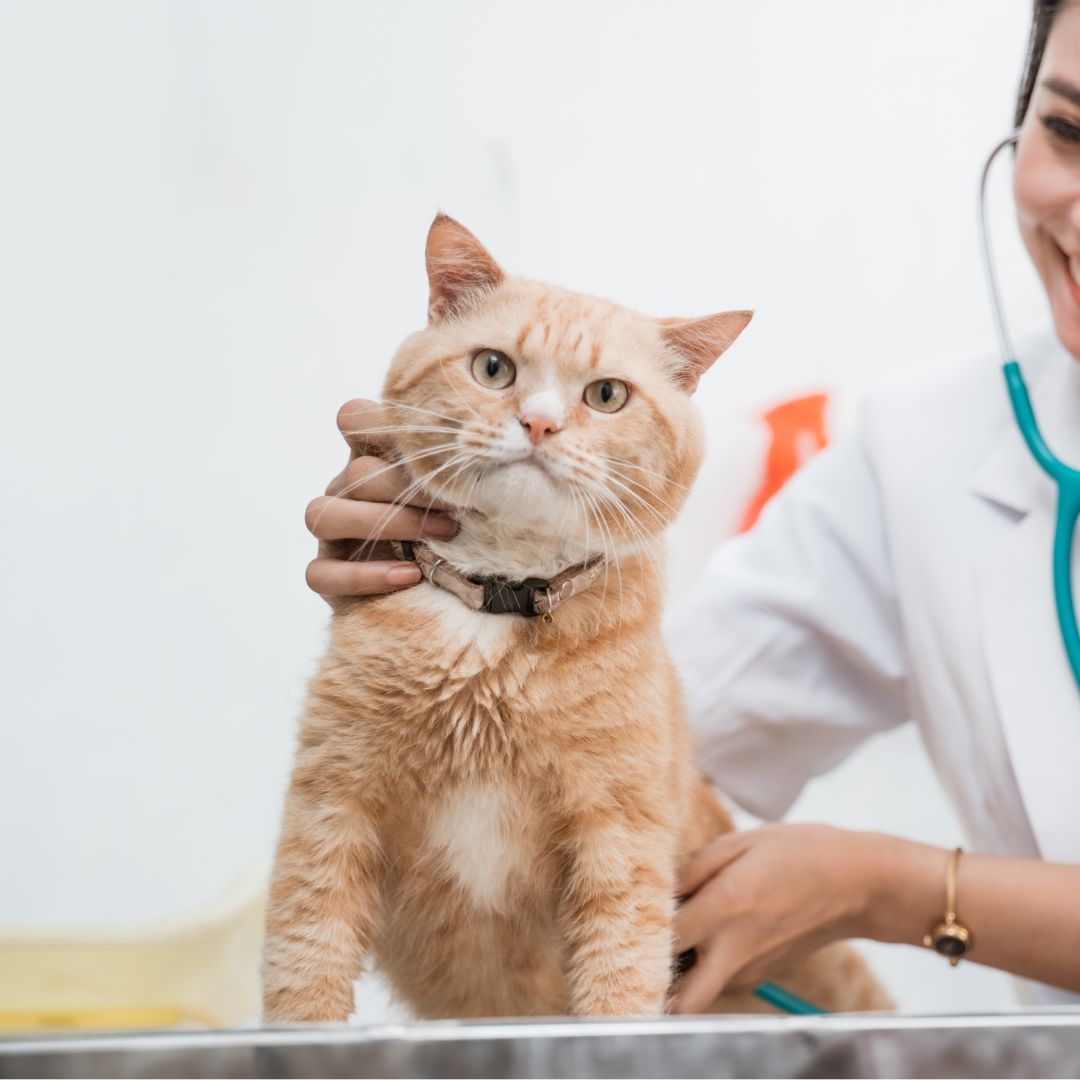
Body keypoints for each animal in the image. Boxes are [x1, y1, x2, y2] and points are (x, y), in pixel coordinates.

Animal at [261, 212, 885, 1019]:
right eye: (494, 369)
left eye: (608, 395)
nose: (539, 424)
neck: (497, 609)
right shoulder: (332, 807)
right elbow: (305, 969)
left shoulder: (619, 839)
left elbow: (620, 981)